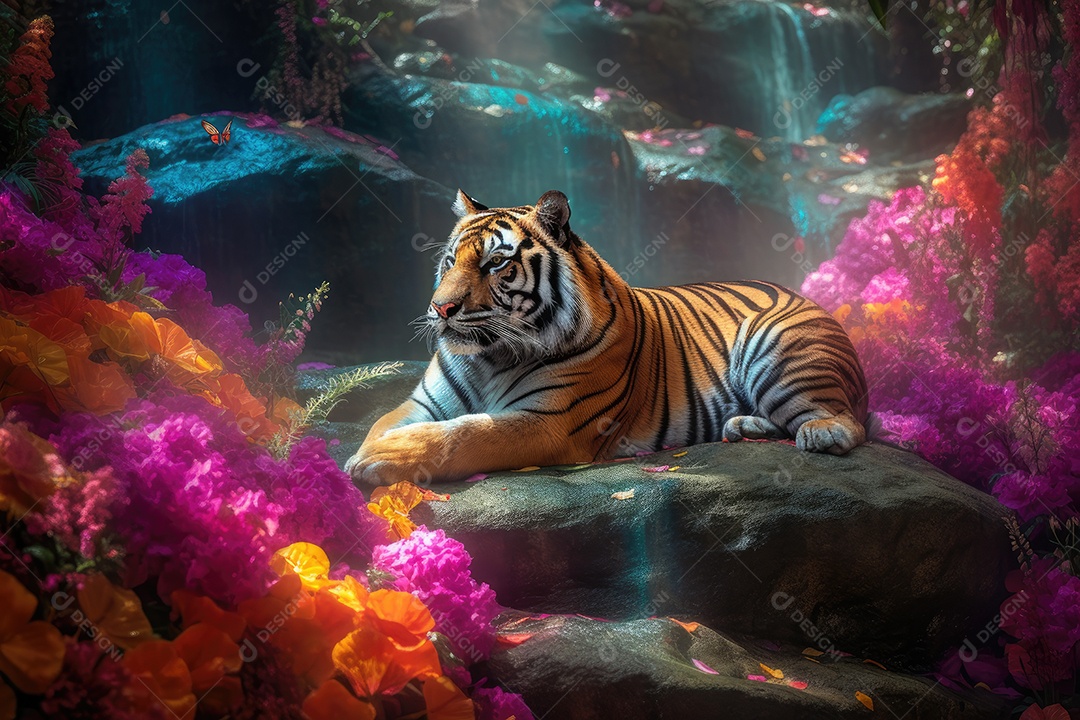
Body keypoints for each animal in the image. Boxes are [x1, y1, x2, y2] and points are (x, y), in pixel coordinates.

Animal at [345, 190, 869, 486]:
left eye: (495, 263)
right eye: (452, 260)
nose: (441, 308)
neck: (489, 358)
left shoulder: (549, 421)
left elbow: (467, 434)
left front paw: (377, 458)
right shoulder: (424, 403)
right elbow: (384, 422)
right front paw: (367, 451)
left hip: (779, 352)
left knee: (847, 424)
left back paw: (819, 433)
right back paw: (745, 426)